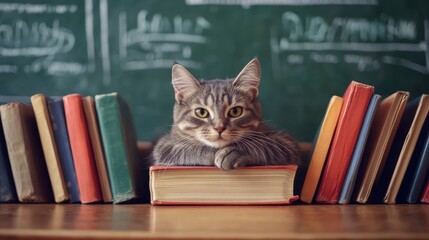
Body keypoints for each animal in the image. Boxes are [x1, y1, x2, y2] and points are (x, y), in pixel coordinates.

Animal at [152, 58, 300, 171]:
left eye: (235, 111)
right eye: (201, 112)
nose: (219, 128)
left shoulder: (287, 142)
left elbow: (264, 145)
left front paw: (234, 152)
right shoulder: (164, 145)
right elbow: (182, 148)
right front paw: (210, 153)